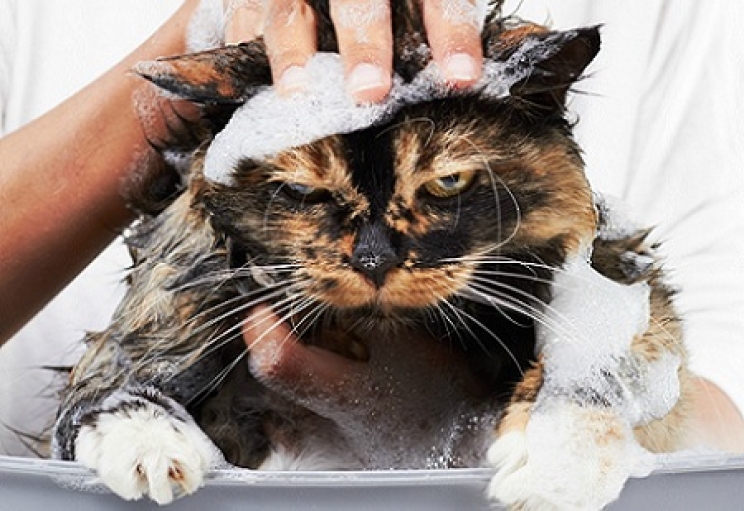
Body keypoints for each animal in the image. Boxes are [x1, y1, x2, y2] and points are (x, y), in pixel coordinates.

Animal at [50, 2, 692, 510]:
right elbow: (138, 336)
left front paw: (559, 461)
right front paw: (146, 439)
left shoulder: (612, 262)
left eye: (448, 183)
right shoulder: (182, 238)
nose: (374, 259)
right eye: (304, 189)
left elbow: (615, 349)